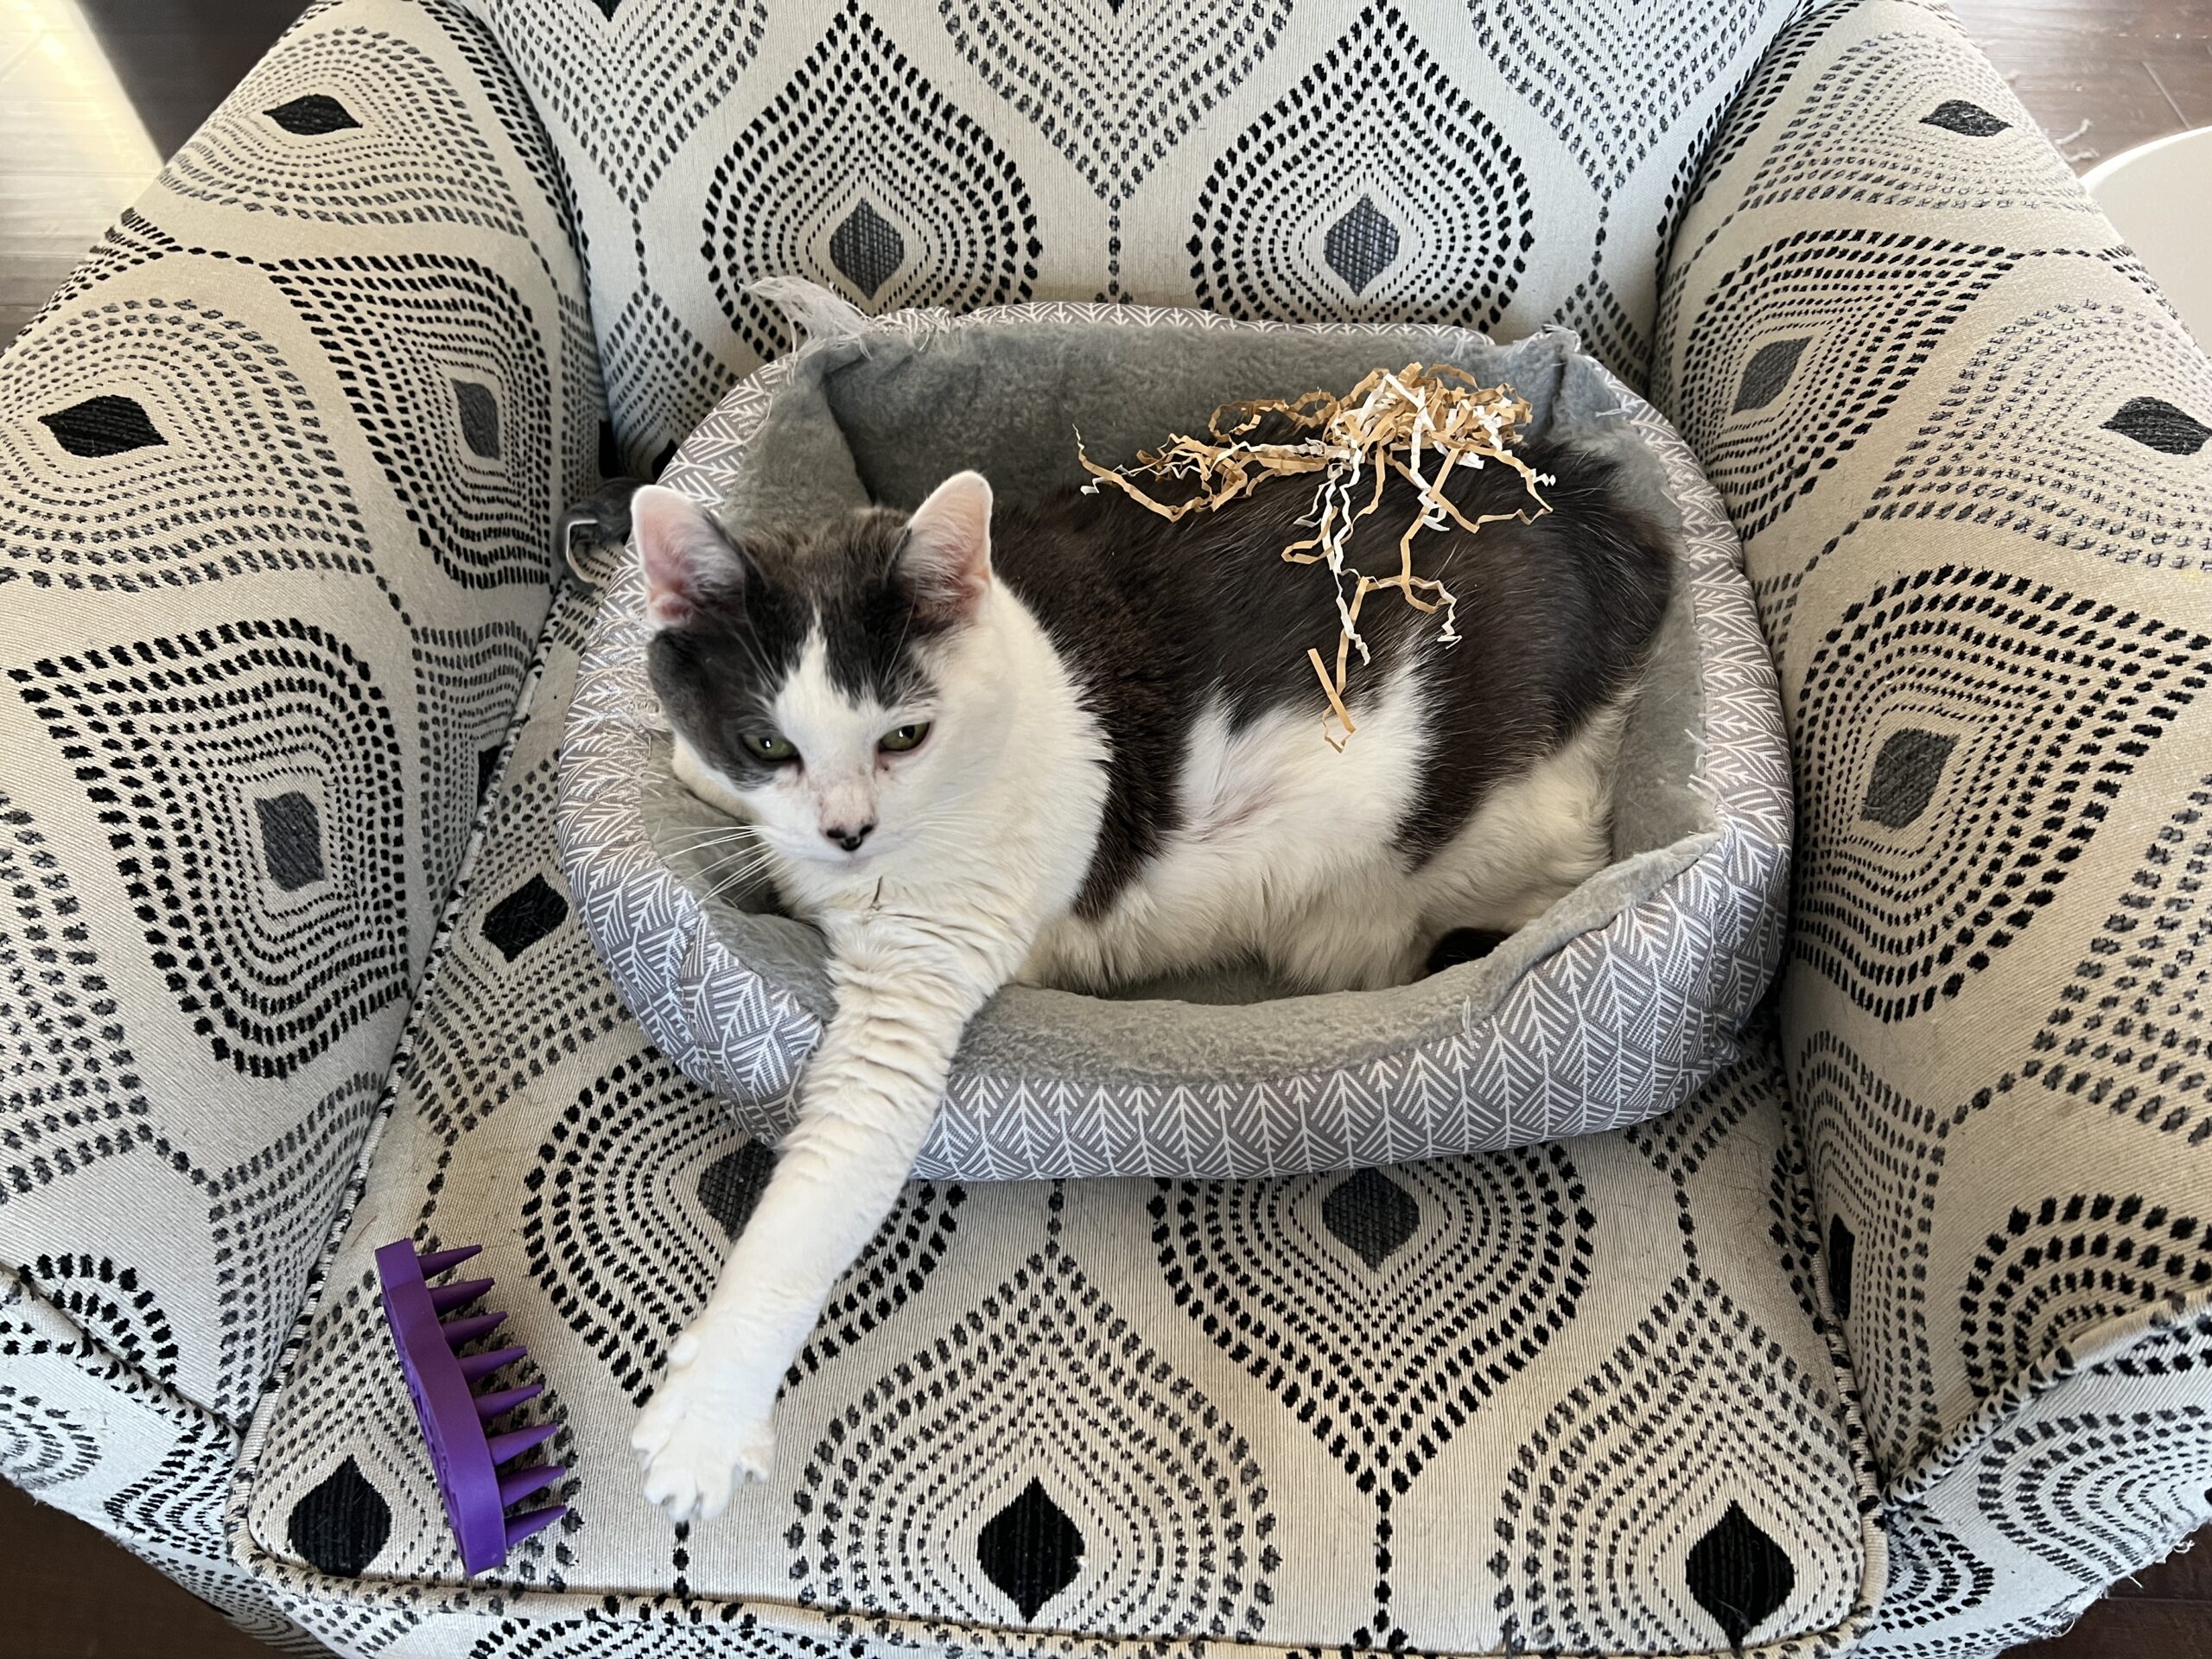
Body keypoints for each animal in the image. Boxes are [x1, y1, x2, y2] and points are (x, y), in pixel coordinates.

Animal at [619, 431, 1663, 1522]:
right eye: (766, 744)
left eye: (901, 736)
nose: (845, 830)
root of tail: (1586, 506)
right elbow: (711, 786)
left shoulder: (916, 987)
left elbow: (820, 1194)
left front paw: (705, 1420)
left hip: (1474, 833)